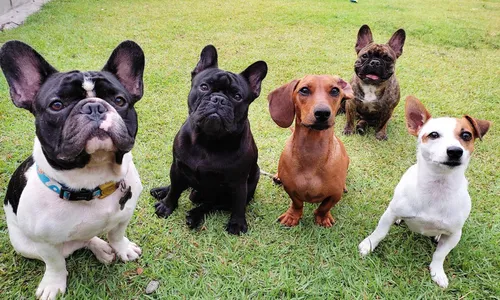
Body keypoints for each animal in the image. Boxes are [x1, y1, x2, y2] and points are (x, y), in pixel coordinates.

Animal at [0, 40, 145, 300]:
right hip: (23, 245)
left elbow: (116, 234)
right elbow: (55, 262)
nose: (94, 107)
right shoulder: (44, 243)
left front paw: (122, 248)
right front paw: (53, 284)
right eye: (57, 105)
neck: (92, 179)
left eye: (119, 101)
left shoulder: (124, 215)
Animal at [149, 45, 268, 237]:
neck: (208, 139)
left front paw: (237, 223)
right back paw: (162, 191)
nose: (218, 99)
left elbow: (238, 204)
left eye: (237, 96)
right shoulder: (177, 166)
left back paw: (194, 215)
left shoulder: (238, 183)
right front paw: (167, 206)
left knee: (211, 204)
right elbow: (174, 189)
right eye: (204, 87)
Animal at [268, 75, 354, 227]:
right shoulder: (290, 189)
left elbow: (324, 207)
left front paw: (322, 218)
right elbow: (297, 204)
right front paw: (292, 216)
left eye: (335, 90)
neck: (312, 153)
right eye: (304, 90)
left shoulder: (335, 195)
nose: (322, 113)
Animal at [360, 96, 492, 288]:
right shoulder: (389, 214)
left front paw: (437, 272)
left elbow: (440, 255)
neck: (437, 186)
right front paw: (368, 245)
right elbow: (380, 232)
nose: (455, 151)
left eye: (466, 135)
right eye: (434, 135)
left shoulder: (455, 234)